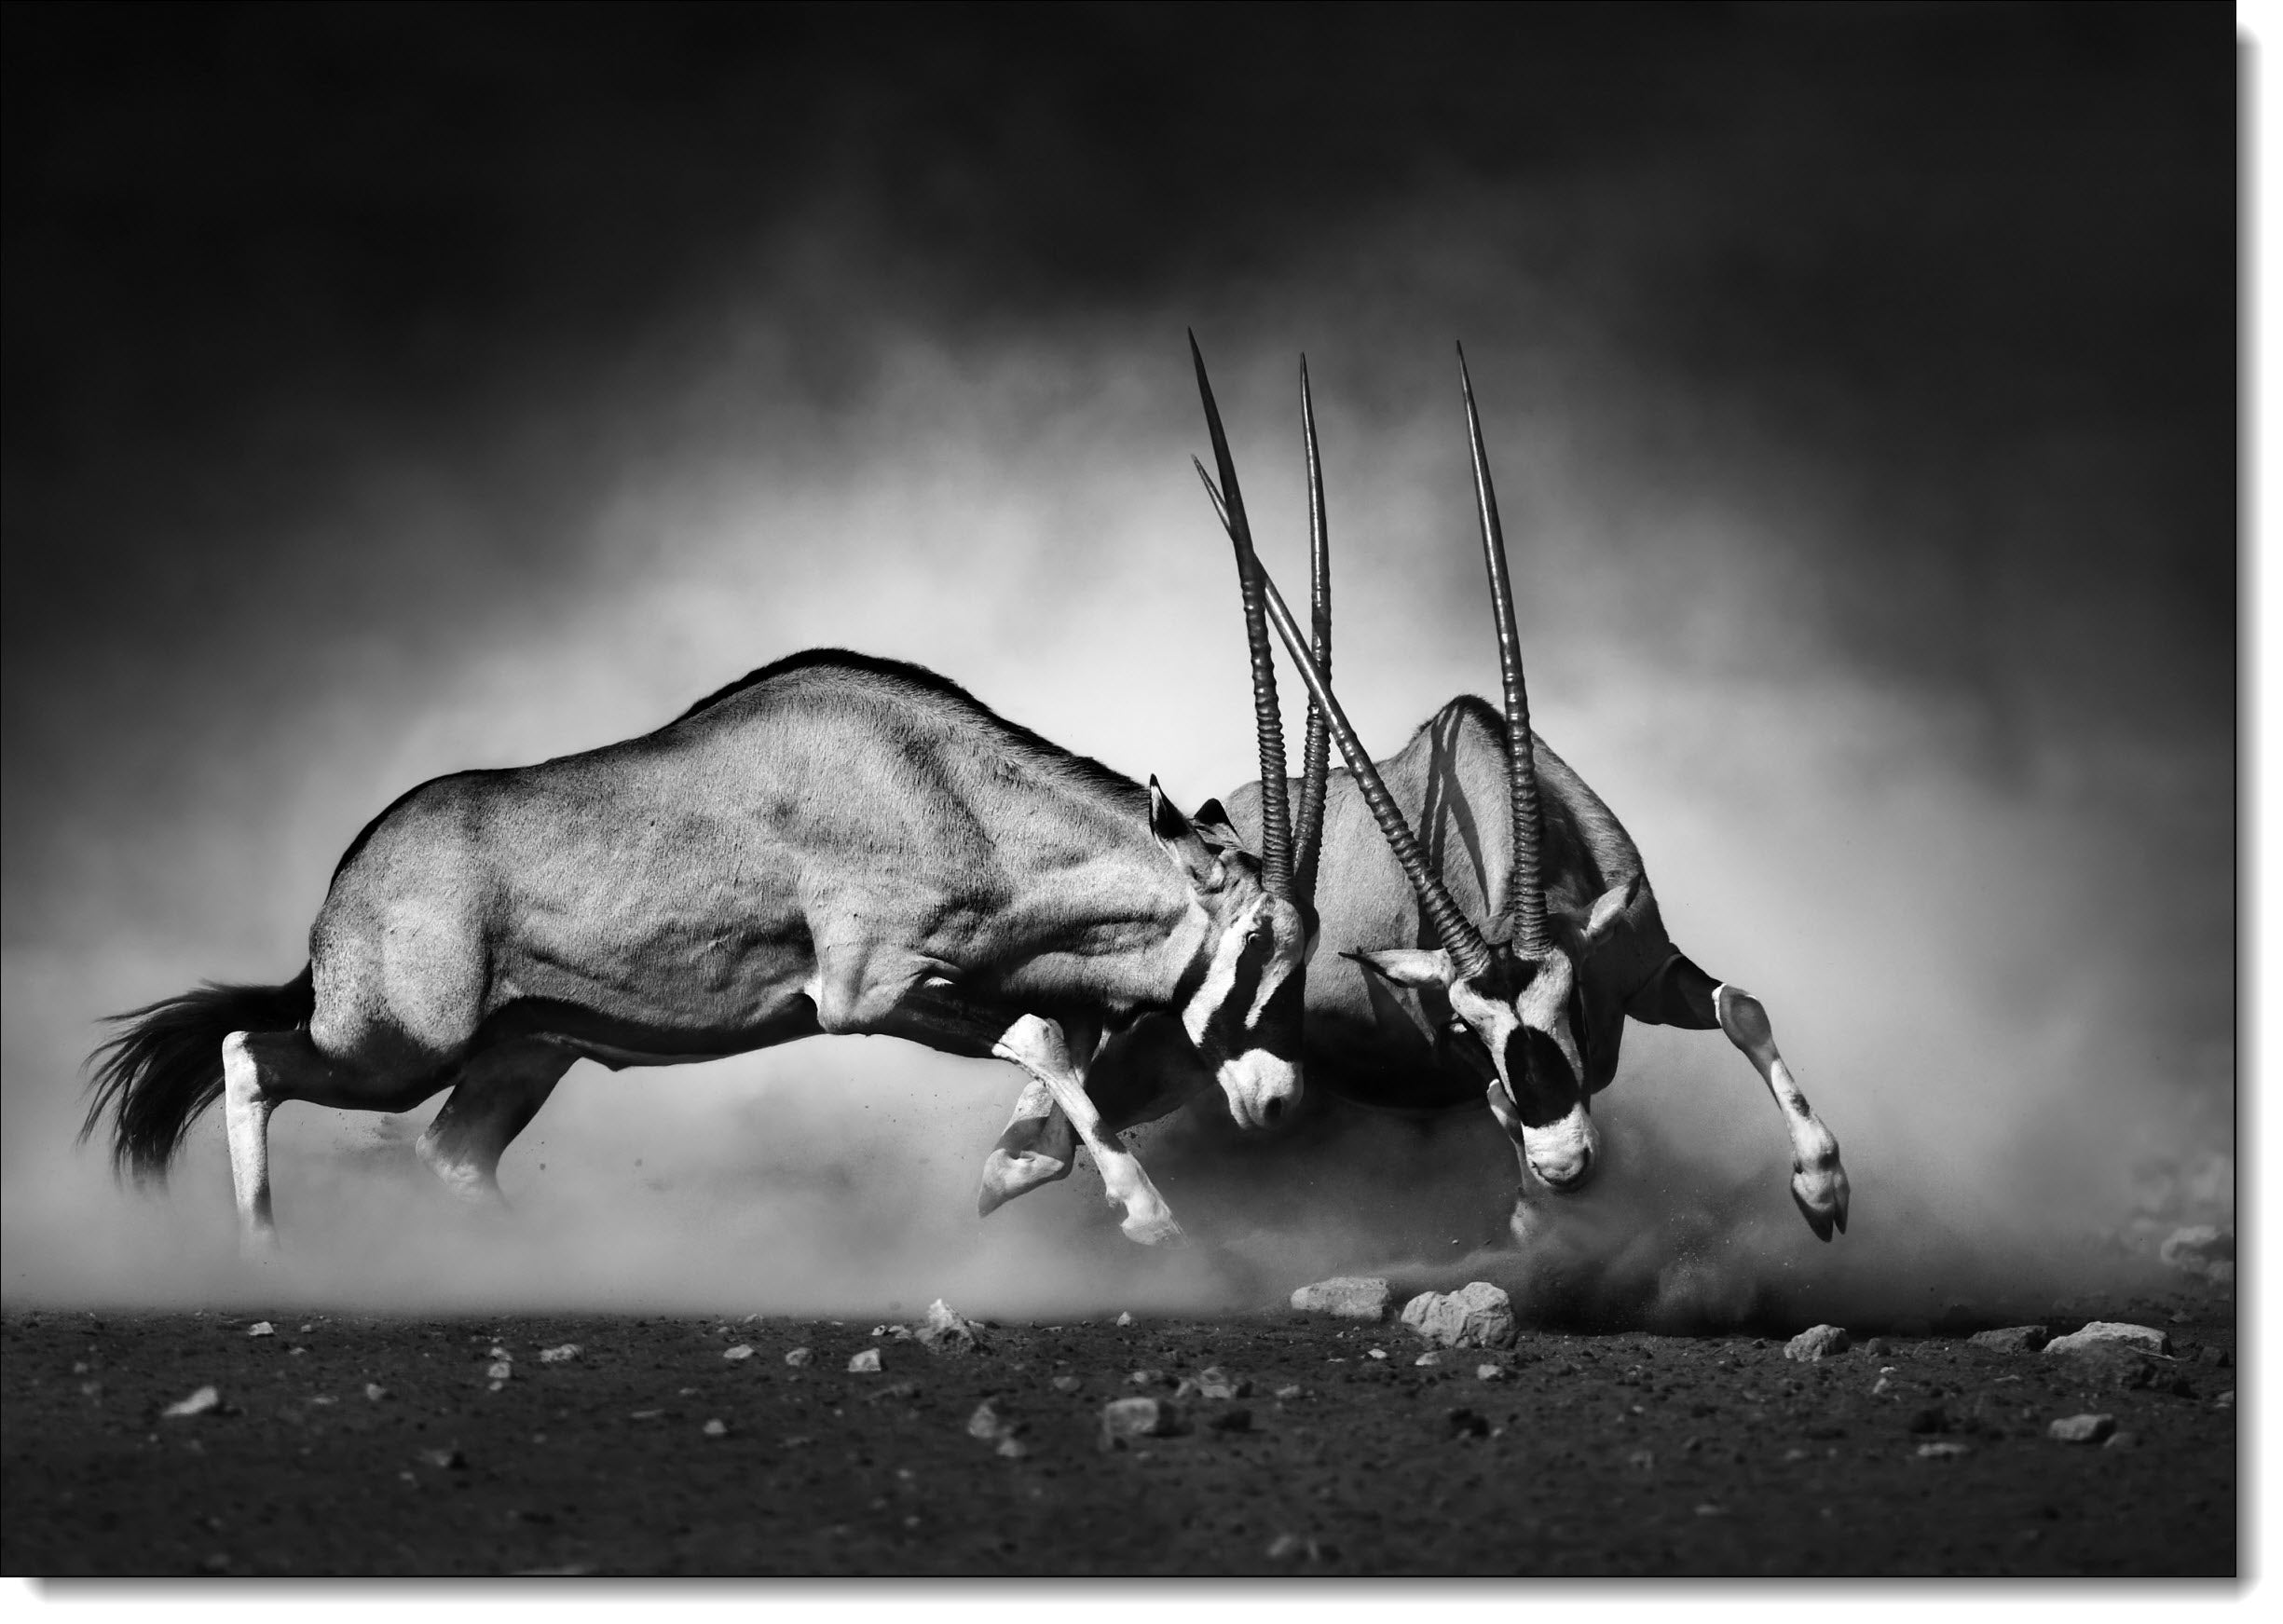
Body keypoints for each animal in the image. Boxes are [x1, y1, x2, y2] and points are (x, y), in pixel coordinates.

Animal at [81, 646, 1313, 1253]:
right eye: (1260, 943)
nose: (1280, 1097)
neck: (945, 787)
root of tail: (348, 883)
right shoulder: (866, 994)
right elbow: (1046, 1034)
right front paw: (1145, 1214)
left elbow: (1065, 1036)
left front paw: (1015, 1171)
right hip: (396, 1047)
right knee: (249, 1054)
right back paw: (263, 1255)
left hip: (523, 1054)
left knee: (454, 1157)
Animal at [979, 347, 1852, 1246]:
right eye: (1469, 1025)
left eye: (1572, 1002)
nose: (1565, 1163)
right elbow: (1502, 1104)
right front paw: (1537, 1221)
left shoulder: (1643, 967)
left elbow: (1742, 1008)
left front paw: (1823, 1187)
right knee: (1037, 1145)